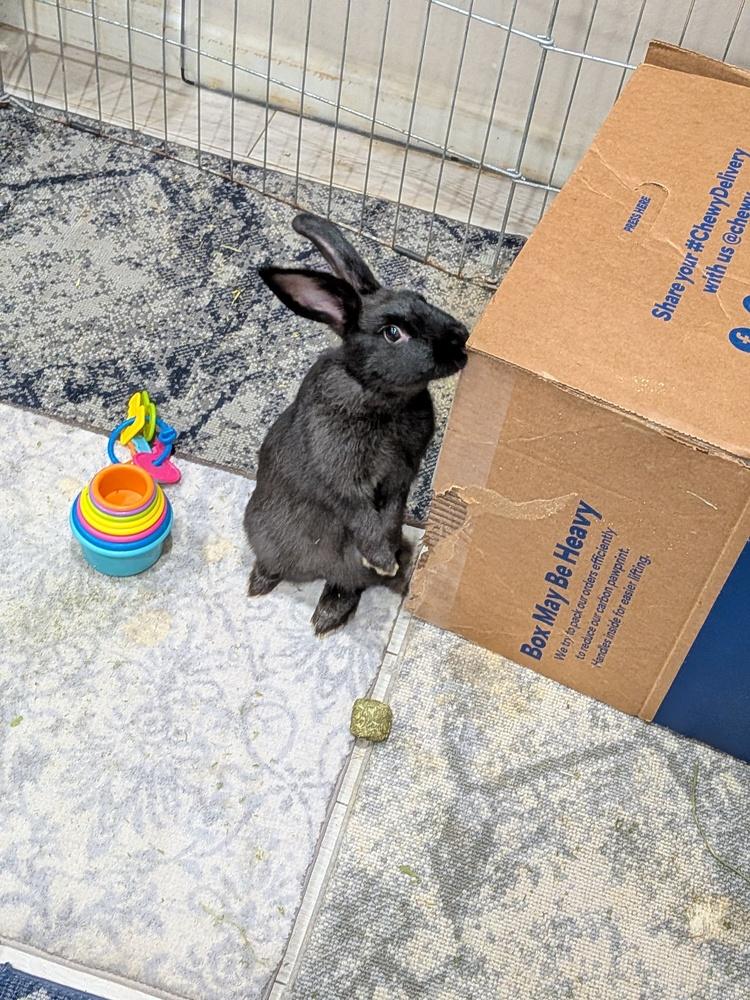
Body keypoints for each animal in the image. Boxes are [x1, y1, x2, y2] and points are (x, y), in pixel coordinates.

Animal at [244, 212, 469, 635]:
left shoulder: (401, 476)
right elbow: (360, 513)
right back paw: (260, 582)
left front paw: (387, 559)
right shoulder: (344, 478)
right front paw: (381, 557)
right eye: (393, 333)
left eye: (421, 298)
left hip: (342, 571)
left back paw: (331, 613)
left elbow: (391, 511)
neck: (377, 394)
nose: (460, 337)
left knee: (346, 585)